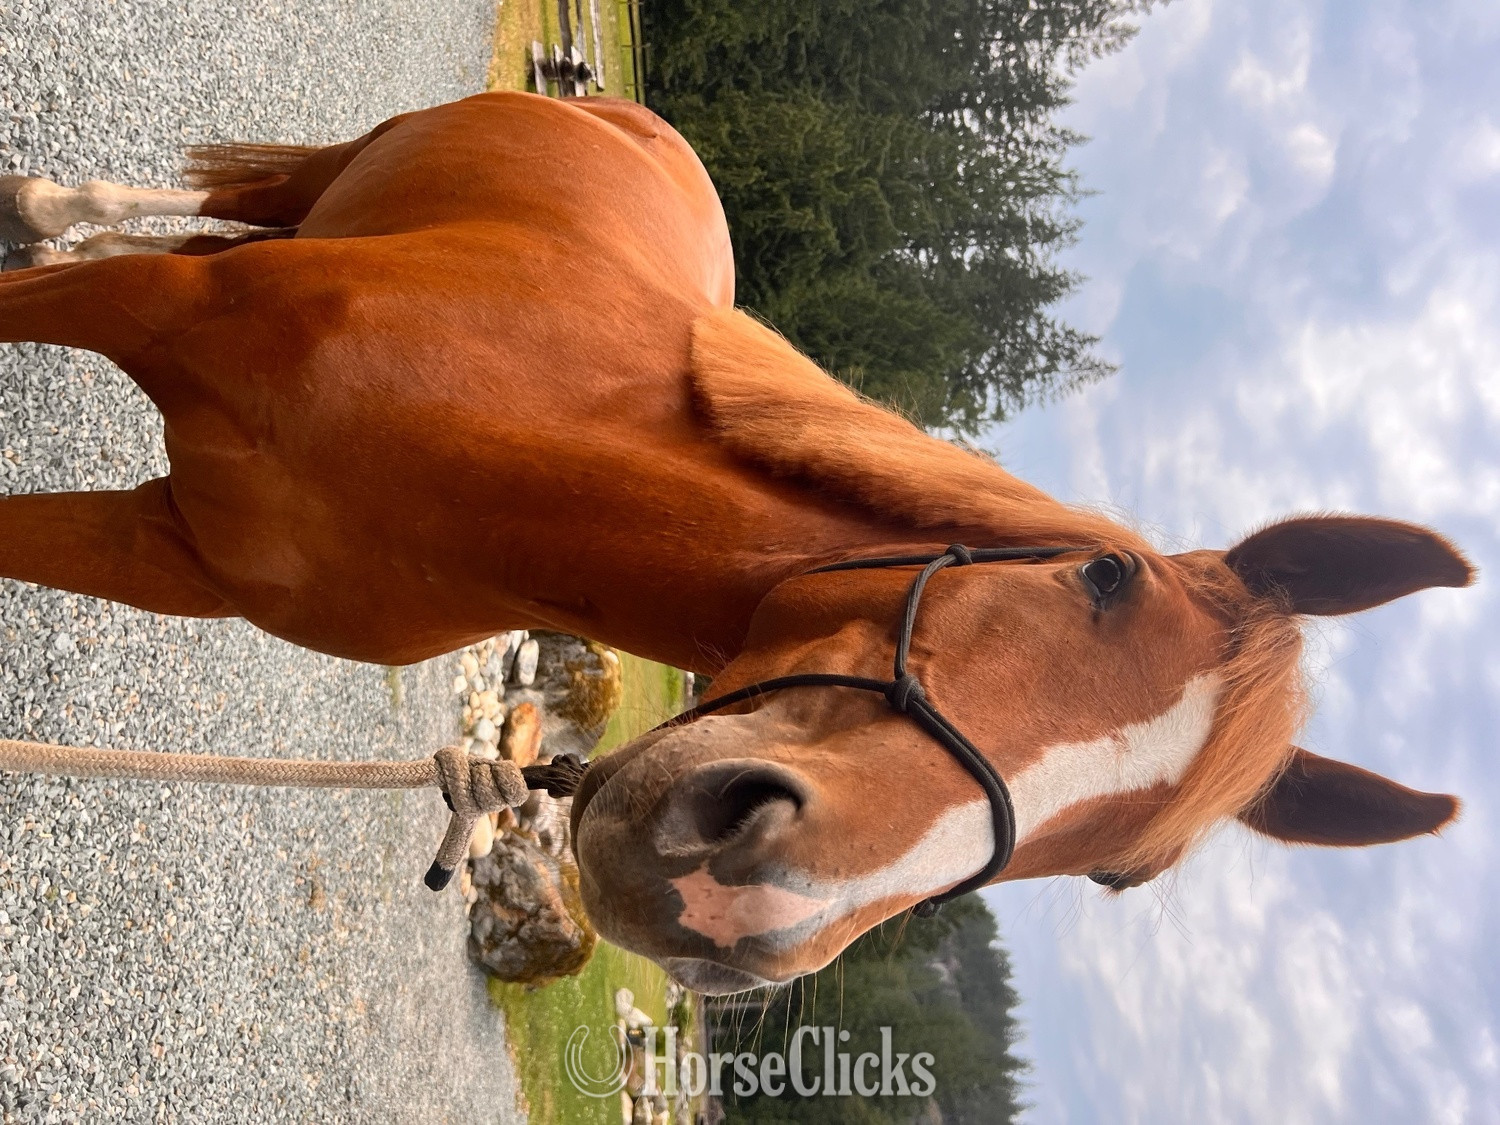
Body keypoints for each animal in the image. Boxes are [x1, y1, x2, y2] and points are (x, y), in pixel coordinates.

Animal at [0, 92, 1470, 994]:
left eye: (1122, 871)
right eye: (1103, 577)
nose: (747, 909)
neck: (490, 434)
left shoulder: (171, 555)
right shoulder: (139, 320)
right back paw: (43, 200)